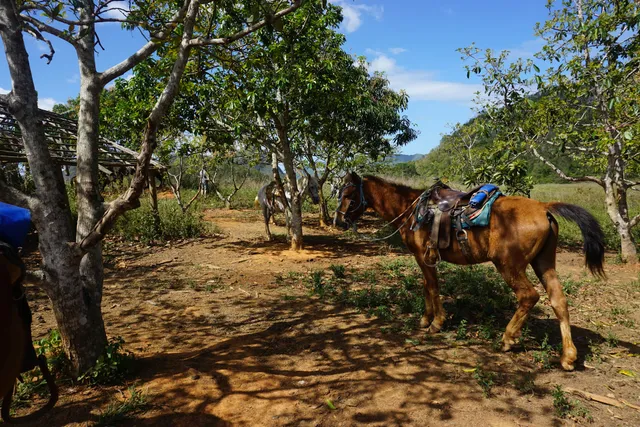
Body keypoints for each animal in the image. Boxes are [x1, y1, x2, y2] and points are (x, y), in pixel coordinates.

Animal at [333, 172, 605, 371]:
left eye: (349, 195)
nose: (338, 221)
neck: (412, 210)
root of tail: (544, 207)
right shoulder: (423, 259)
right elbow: (426, 286)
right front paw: (425, 319)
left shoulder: (424, 257)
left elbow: (432, 287)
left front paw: (436, 323)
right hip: (544, 263)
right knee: (559, 301)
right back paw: (568, 357)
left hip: (509, 265)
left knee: (529, 296)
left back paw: (508, 338)